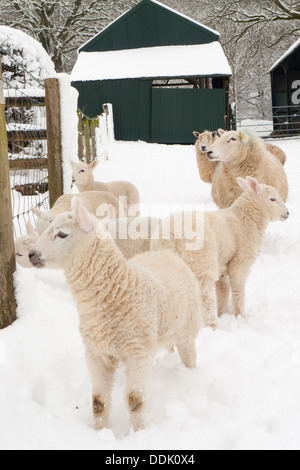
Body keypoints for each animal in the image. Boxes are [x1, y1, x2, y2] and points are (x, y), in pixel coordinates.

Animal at [28, 198, 202, 434]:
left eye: (62, 234)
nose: (31, 254)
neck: (119, 290)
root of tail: (165, 252)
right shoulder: (95, 353)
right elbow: (98, 402)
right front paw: (100, 432)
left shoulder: (139, 353)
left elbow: (135, 400)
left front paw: (139, 433)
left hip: (187, 327)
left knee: (188, 353)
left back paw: (190, 374)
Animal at [151, 177, 290, 330]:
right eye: (272, 199)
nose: (287, 213)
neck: (244, 219)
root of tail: (170, 236)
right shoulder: (240, 262)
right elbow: (238, 290)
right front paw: (240, 316)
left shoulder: (223, 264)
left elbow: (222, 289)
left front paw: (222, 313)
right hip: (202, 262)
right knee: (205, 296)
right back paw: (213, 326)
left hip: (166, 266)